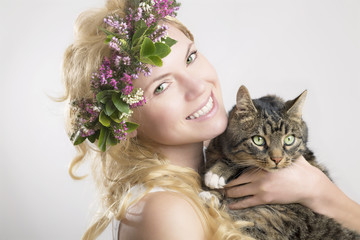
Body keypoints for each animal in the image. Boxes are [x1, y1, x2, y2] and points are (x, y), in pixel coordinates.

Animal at [202, 85, 360, 240]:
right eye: (258, 140)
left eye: (289, 139)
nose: (277, 159)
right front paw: (212, 194)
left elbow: (245, 165)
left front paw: (217, 174)